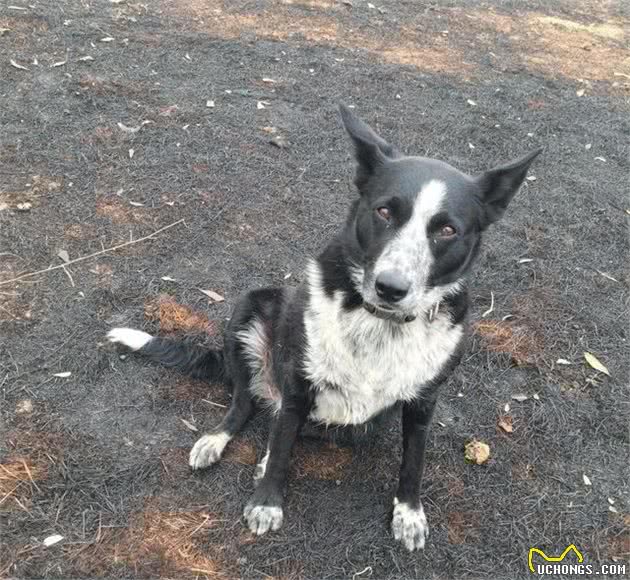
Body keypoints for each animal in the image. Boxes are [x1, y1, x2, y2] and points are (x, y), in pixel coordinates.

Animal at [108, 105, 544, 552]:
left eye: (447, 230)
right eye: (384, 211)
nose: (390, 288)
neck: (379, 323)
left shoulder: (423, 402)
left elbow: (414, 462)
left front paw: (408, 513)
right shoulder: (299, 383)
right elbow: (283, 444)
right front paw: (267, 502)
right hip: (250, 308)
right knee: (246, 404)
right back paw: (219, 440)